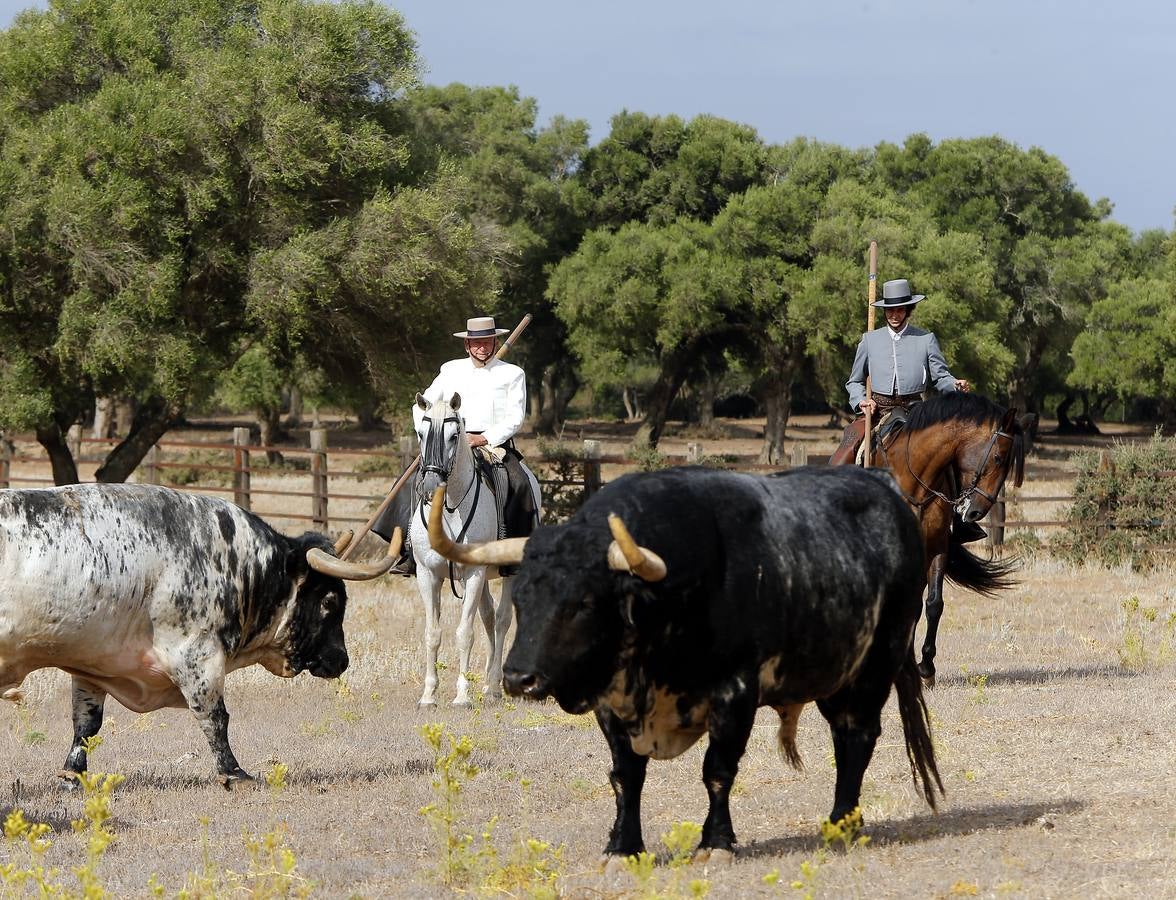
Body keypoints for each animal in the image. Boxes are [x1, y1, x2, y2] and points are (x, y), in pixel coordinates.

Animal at [0, 480, 399, 781]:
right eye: (330, 601)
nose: (341, 660)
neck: (243, 564)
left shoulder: (94, 662)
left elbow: (86, 724)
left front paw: (73, 775)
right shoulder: (197, 652)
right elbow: (214, 716)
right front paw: (234, 773)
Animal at [406, 390, 538, 705]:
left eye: (455, 435)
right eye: (420, 433)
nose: (431, 486)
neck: (450, 508)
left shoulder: (474, 573)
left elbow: (465, 633)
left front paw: (462, 695)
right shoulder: (427, 574)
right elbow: (433, 633)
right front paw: (428, 694)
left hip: (506, 573)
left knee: (501, 621)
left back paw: (493, 685)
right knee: (489, 618)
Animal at [428, 465, 940, 861]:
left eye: (583, 602)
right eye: (522, 596)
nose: (519, 678)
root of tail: (885, 489)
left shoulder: (735, 693)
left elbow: (718, 770)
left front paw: (715, 843)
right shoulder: (612, 704)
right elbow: (625, 777)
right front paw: (623, 847)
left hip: (875, 665)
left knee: (859, 738)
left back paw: (841, 825)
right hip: (834, 675)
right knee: (843, 737)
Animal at [832, 392, 1025, 682]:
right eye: (999, 457)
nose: (977, 511)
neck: (913, 482)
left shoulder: (935, 548)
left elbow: (933, 604)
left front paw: (925, 667)